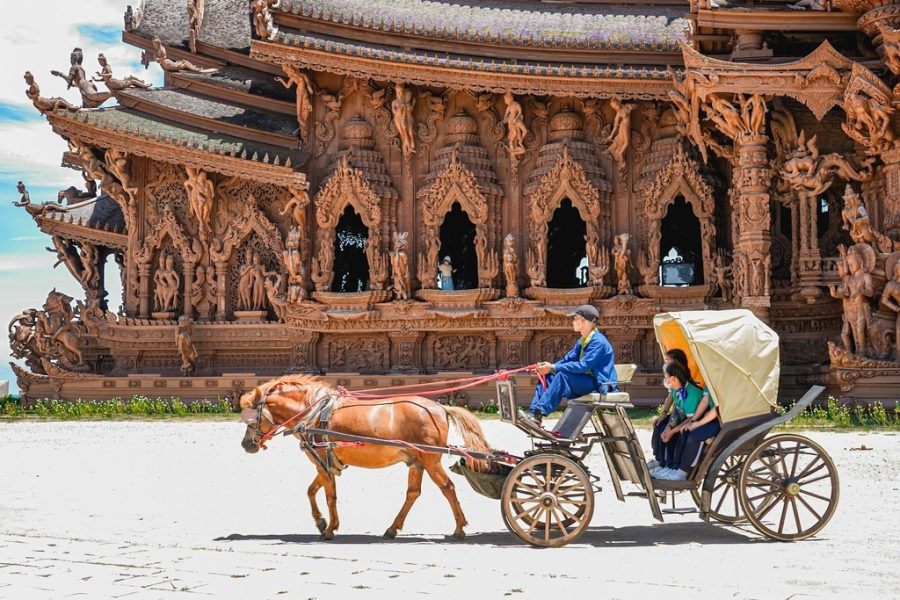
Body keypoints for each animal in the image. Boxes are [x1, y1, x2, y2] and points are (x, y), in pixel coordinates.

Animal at [239, 376, 492, 540]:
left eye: (251, 418)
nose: (246, 444)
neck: (313, 413)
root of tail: (441, 408)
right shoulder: (327, 463)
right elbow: (311, 491)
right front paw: (321, 522)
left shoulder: (321, 459)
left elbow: (330, 496)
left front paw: (329, 529)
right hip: (416, 461)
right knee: (413, 493)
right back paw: (392, 529)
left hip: (430, 460)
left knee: (447, 487)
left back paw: (459, 529)